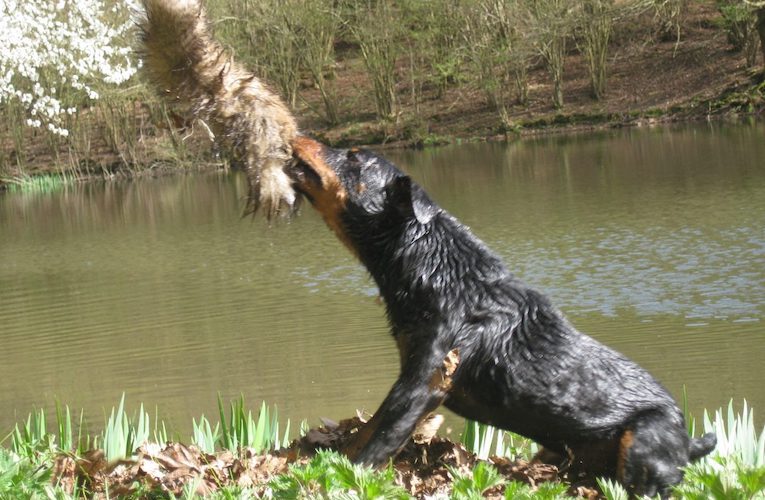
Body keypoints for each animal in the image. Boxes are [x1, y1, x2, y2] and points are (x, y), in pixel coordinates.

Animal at [286, 136, 716, 496]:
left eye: (353, 157)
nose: (298, 134)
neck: (436, 267)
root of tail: (690, 440)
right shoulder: (410, 376)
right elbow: (363, 435)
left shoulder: (423, 384)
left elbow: (372, 449)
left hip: (643, 445)